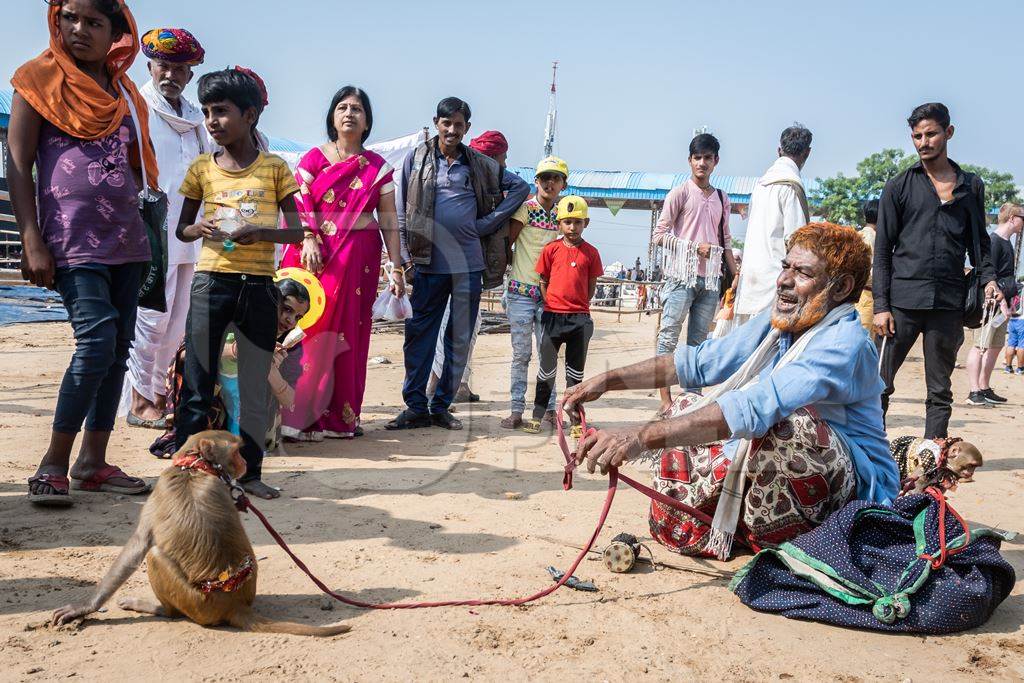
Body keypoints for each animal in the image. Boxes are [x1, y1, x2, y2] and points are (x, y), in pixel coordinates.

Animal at [52, 432, 352, 634]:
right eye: (236, 452)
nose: (246, 461)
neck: (193, 467)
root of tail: (234, 605)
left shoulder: (158, 492)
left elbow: (136, 548)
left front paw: (84, 606)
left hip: (195, 603)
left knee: (154, 556)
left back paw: (161, 610)